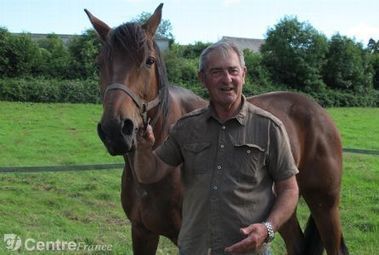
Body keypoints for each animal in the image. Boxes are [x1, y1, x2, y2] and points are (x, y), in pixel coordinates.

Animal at [86, 3, 350, 255]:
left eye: (149, 61)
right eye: (99, 64)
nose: (116, 130)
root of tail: (318, 111)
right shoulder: (142, 232)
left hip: (324, 204)